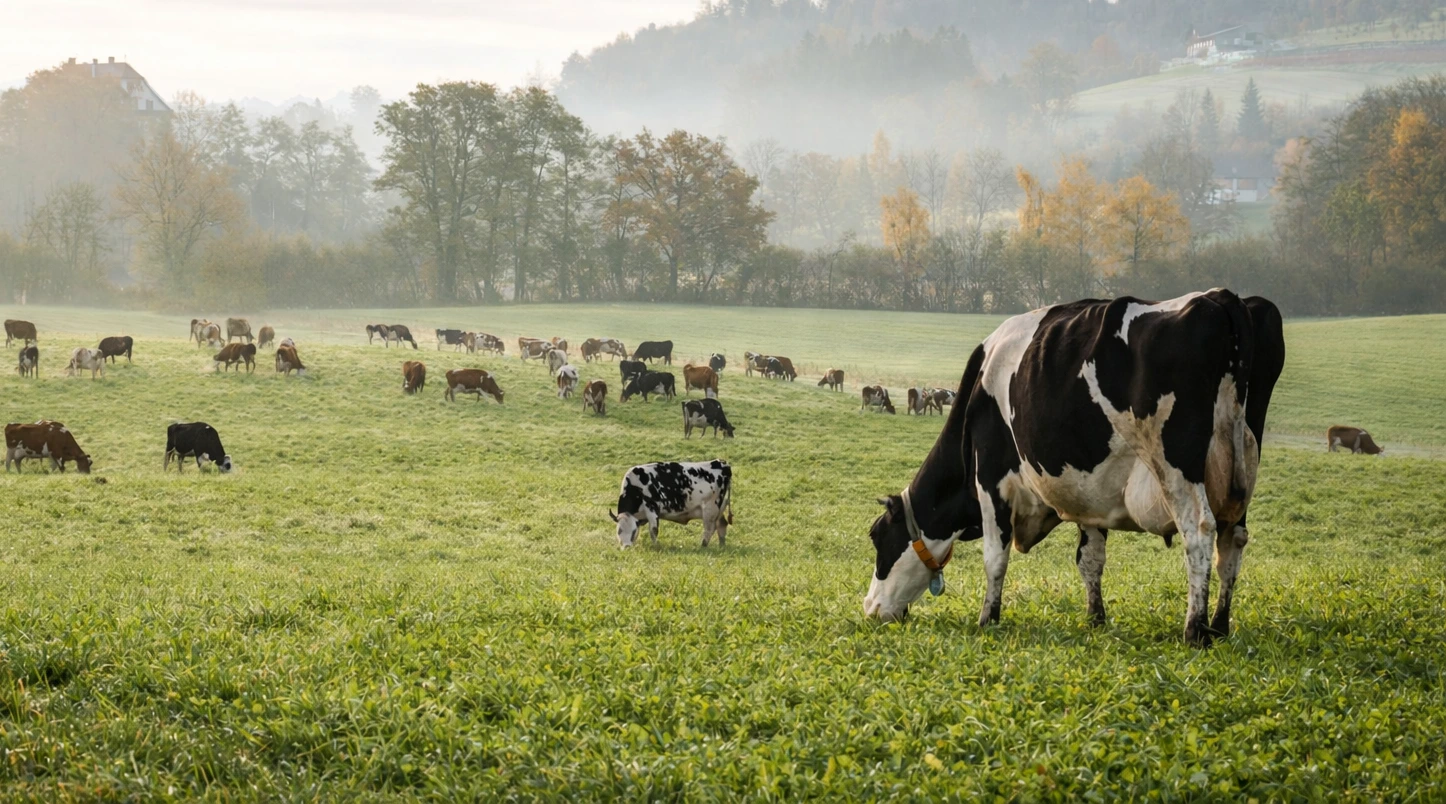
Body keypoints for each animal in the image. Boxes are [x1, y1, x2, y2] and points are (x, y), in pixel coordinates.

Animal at [861, 290, 1286, 649]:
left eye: (878, 538)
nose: (870, 608)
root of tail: (1221, 298)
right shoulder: (1089, 493)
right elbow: (1090, 559)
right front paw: (1096, 619)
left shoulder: (991, 480)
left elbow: (994, 557)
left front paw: (987, 619)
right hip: (1242, 471)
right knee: (1232, 541)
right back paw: (1220, 625)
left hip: (1178, 467)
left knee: (1199, 531)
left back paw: (1195, 630)